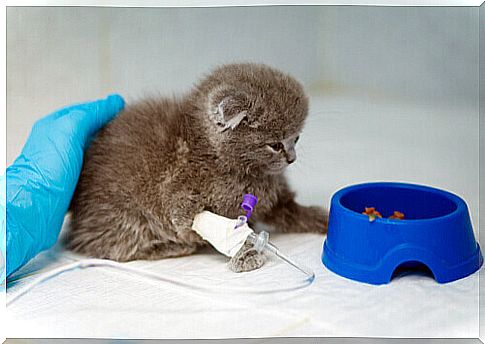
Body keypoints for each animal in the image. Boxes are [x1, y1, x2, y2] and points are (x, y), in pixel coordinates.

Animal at [66, 61, 328, 272]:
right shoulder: (179, 189)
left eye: (296, 139)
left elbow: (293, 210)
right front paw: (245, 253)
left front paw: (323, 220)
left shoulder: (275, 198)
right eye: (275, 145)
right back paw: (168, 247)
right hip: (124, 215)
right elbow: (198, 222)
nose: (291, 158)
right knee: (112, 246)